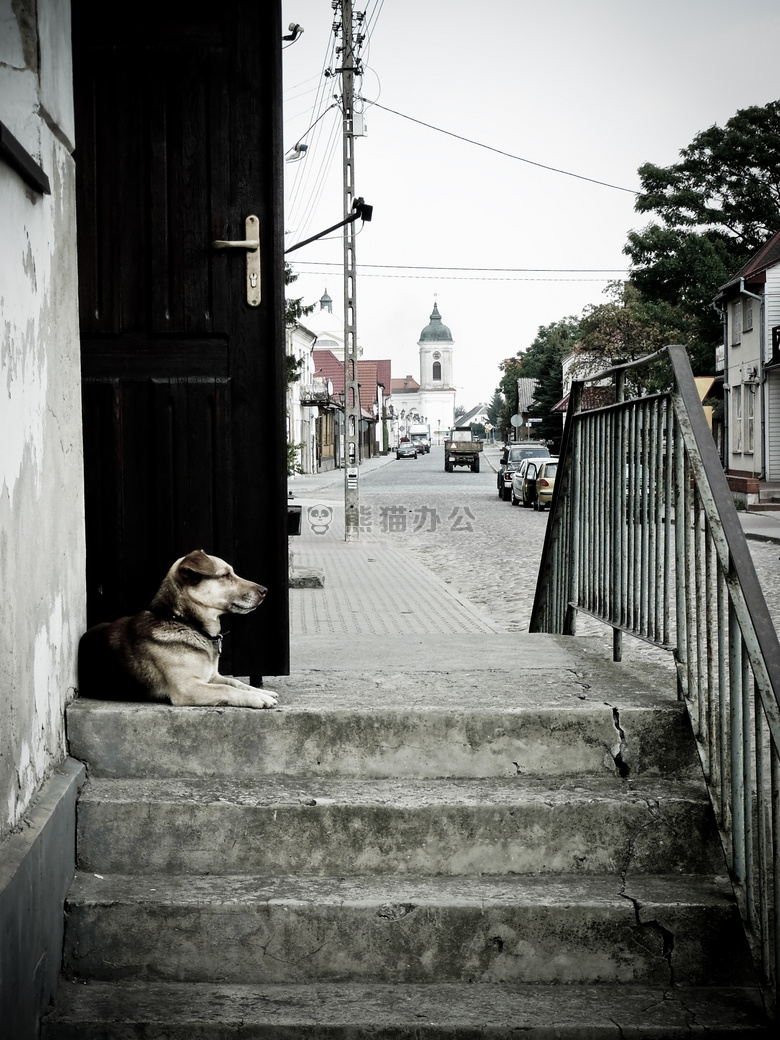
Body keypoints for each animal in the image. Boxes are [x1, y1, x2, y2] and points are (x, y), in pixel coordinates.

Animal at [78, 553, 278, 707]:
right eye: (226, 575)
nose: (265, 590)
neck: (186, 622)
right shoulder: (187, 688)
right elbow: (226, 688)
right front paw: (257, 697)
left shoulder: (211, 676)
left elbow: (234, 681)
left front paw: (260, 691)